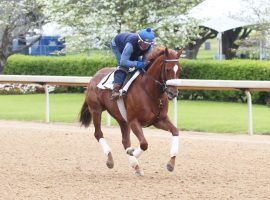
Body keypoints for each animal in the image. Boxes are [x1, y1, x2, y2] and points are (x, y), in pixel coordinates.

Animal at [79, 47, 182, 176]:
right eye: (168, 69)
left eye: (179, 70)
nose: (173, 93)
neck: (149, 91)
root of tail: (94, 76)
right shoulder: (133, 121)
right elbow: (144, 144)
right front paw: (132, 152)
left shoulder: (159, 120)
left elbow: (175, 131)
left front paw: (171, 163)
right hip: (96, 110)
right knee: (98, 134)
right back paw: (110, 160)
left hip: (122, 119)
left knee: (125, 141)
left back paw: (135, 166)